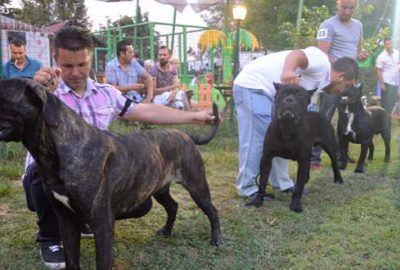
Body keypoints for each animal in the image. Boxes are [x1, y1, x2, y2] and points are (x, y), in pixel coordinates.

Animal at [0, 77, 222, 268]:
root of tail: (186, 135)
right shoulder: (66, 219)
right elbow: (71, 259)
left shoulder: (102, 223)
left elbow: (103, 261)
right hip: (159, 189)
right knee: (173, 206)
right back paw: (167, 230)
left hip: (196, 185)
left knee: (212, 210)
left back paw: (216, 239)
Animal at [247, 83, 344, 212]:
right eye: (283, 93)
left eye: (300, 95)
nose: (289, 99)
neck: (287, 127)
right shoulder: (266, 158)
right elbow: (262, 182)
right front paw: (257, 200)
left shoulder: (302, 160)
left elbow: (299, 187)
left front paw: (296, 204)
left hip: (330, 147)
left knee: (334, 163)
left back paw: (339, 179)